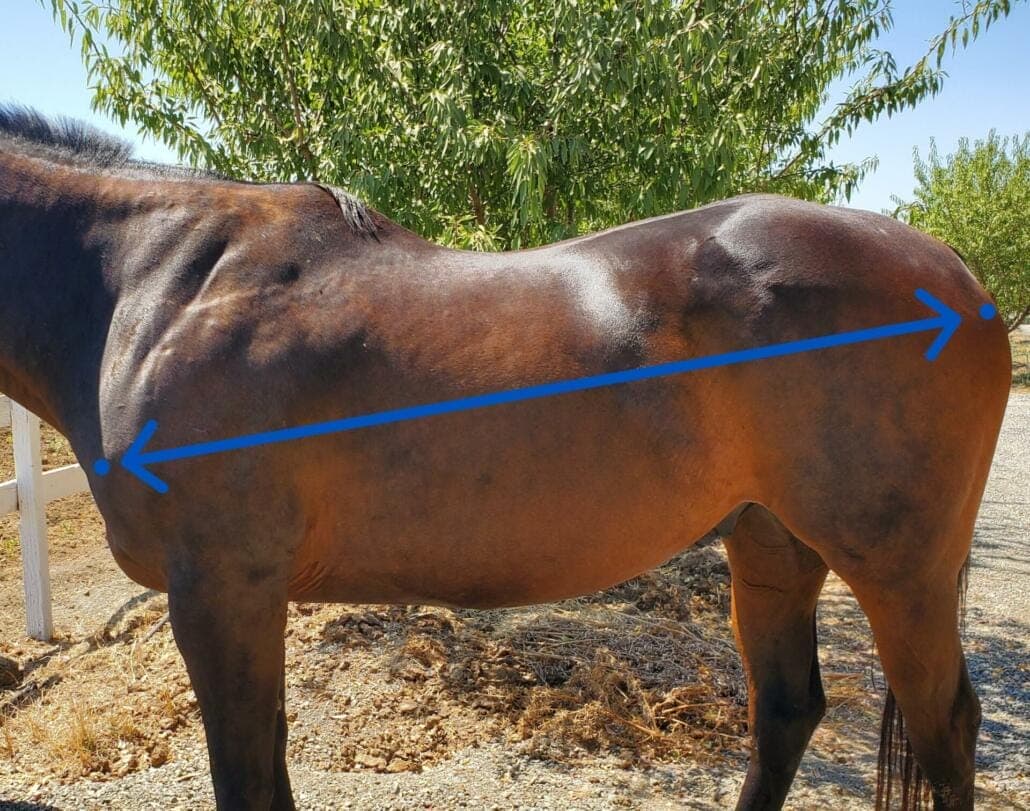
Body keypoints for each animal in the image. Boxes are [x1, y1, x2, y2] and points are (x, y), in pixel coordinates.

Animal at [0, 107, 1010, 810]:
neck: (158, 285)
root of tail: (955, 271)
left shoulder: (222, 590)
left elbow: (246, 777)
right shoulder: (241, 599)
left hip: (902, 570)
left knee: (947, 730)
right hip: (770, 546)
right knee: (787, 712)